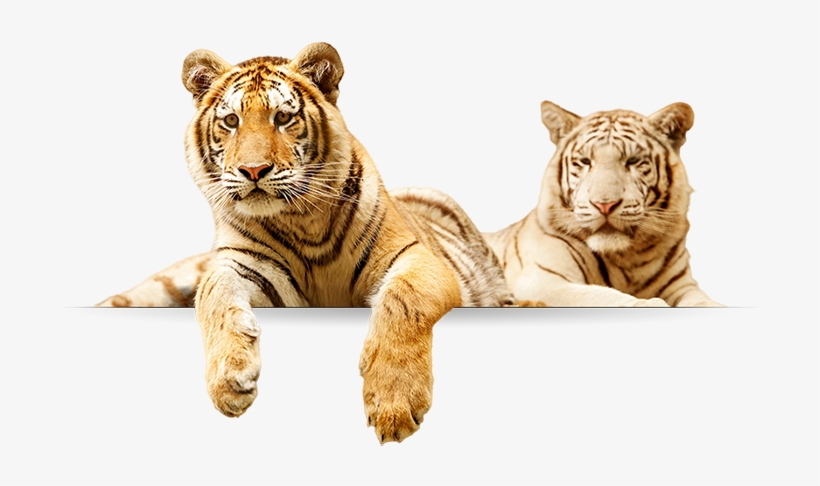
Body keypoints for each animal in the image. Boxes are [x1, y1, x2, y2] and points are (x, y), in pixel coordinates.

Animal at [98, 42, 515, 444]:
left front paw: (393, 403)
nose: (253, 170)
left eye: (283, 118)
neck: (300, 219)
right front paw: (229, 381)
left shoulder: (414, 257)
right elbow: (212, 298)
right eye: (231, 121)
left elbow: (403, 301)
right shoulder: (242, 267)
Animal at [484, 101, 723, 307]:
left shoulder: (684, 286)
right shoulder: (544, 281)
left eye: (633, 161)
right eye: (585, 161)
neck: (629, 258)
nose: (604, 205)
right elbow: (604, 296)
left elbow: (702, 302)